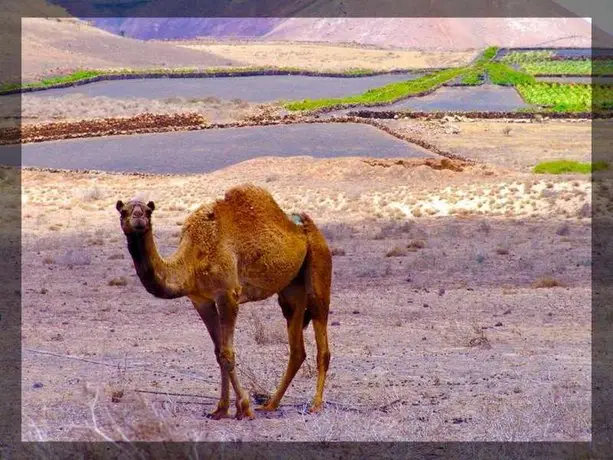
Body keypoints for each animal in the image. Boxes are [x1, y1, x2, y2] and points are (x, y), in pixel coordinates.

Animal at [117, 184, 332, 420]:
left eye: (148, 212)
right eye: (123, 212)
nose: (138, 219)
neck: (192, 258)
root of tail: (306, 226)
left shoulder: (228, 294)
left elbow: (227, 354)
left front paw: (244, 407)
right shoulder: (201, 300)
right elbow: (218, 352)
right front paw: (221, 409)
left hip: (319, 264)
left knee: (321, 336)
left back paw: (315, 404)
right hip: (291, 290)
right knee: (297, 348)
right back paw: (271, 404)